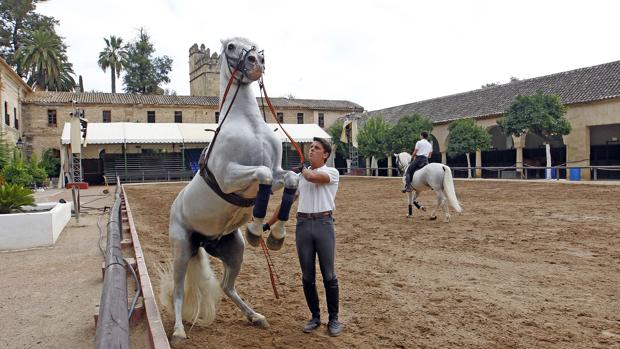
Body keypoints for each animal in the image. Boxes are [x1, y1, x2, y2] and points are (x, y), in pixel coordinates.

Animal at [157, 38, 298, 346]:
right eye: (232, 46)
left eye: (255, 45)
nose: (257, 63)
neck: (248, 124)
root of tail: (202, 241)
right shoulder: (229, 175)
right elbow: (262, 174)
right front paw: (257, 230)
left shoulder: (278, 171)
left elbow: (291, 180)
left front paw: (276, 236)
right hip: (182, 249)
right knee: (178, 290)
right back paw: (179, 331)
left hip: (233, 251)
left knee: (226, 286)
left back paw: (256, 317)